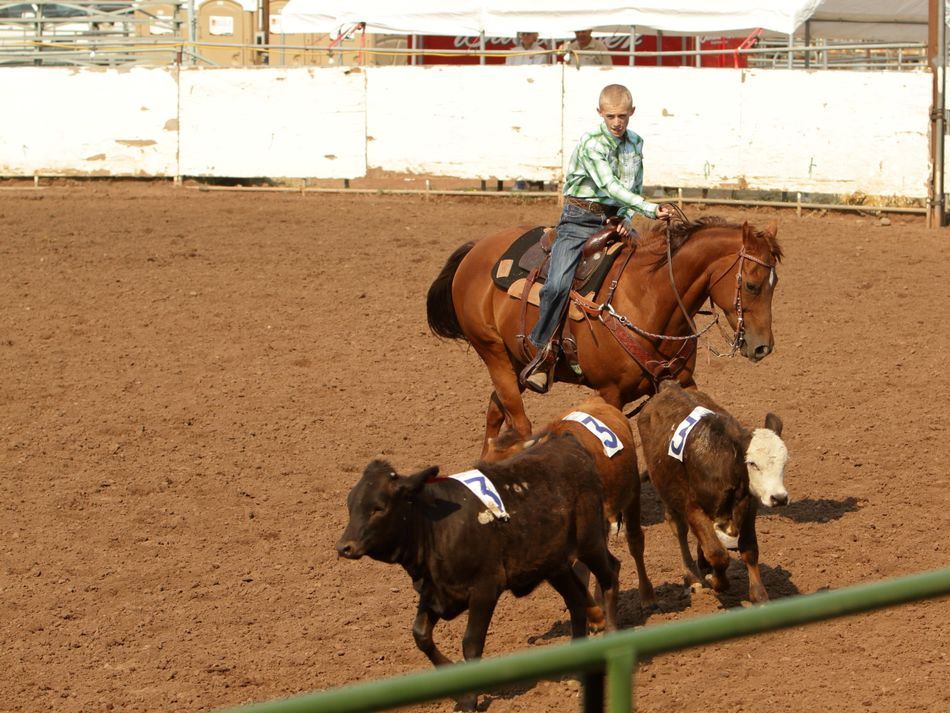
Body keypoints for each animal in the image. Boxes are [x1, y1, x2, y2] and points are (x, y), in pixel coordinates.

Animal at [336, 432, 620, 711]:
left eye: (378, 508)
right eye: (350, 505)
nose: (344, 547)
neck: (435, 527)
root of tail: (570, 442)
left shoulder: (485, 589)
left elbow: (471, 643)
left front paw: (468, 699)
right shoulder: (433, 592)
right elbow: (421, 635)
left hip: (590, 543)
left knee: (610, 573)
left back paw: (612, 633)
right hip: (555, 565)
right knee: (576, 600)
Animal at [426, 215, 782, 453]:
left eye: (775, 282)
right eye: (752, 285)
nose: (763, 347)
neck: (649, 296)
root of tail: (476, 249)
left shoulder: (682, 380)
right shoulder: (610, 393)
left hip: (515, 361)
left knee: (494, 410)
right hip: (494, 353)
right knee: (519, 422)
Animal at [637, 380, 789, 603]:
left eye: (784, 462)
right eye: (752, 463)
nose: (779, 498)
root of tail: (668, 387)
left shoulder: (749, 504)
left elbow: (749, 549)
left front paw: (759, 595)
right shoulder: (692, 507)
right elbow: (718, 553)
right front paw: (717, 581)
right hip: (668, 493)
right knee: (679, 529)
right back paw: (692, 577)